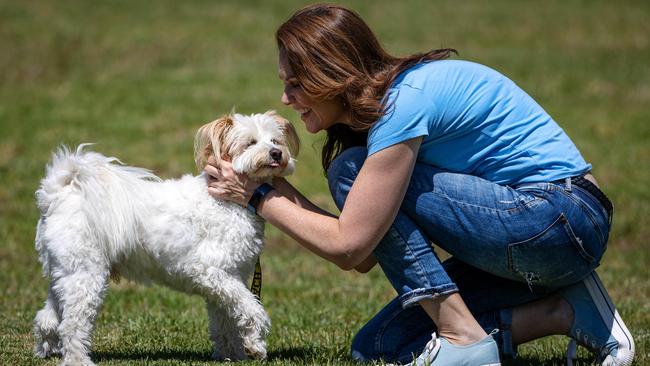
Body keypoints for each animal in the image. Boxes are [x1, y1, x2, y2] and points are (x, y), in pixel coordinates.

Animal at [32, 111, 298, 366]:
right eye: (250, 143)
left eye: (275, 141)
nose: (276, 153)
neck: (228, 203)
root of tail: (59, 194)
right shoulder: (211, 271)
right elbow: (251, 308)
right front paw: (255, 345)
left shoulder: (227, 280)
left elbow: (225, 321)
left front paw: (232, 354)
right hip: (86, 275)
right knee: (72, 324)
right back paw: (78, 360)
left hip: (66, 273)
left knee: (48, 318)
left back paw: (47, 349)